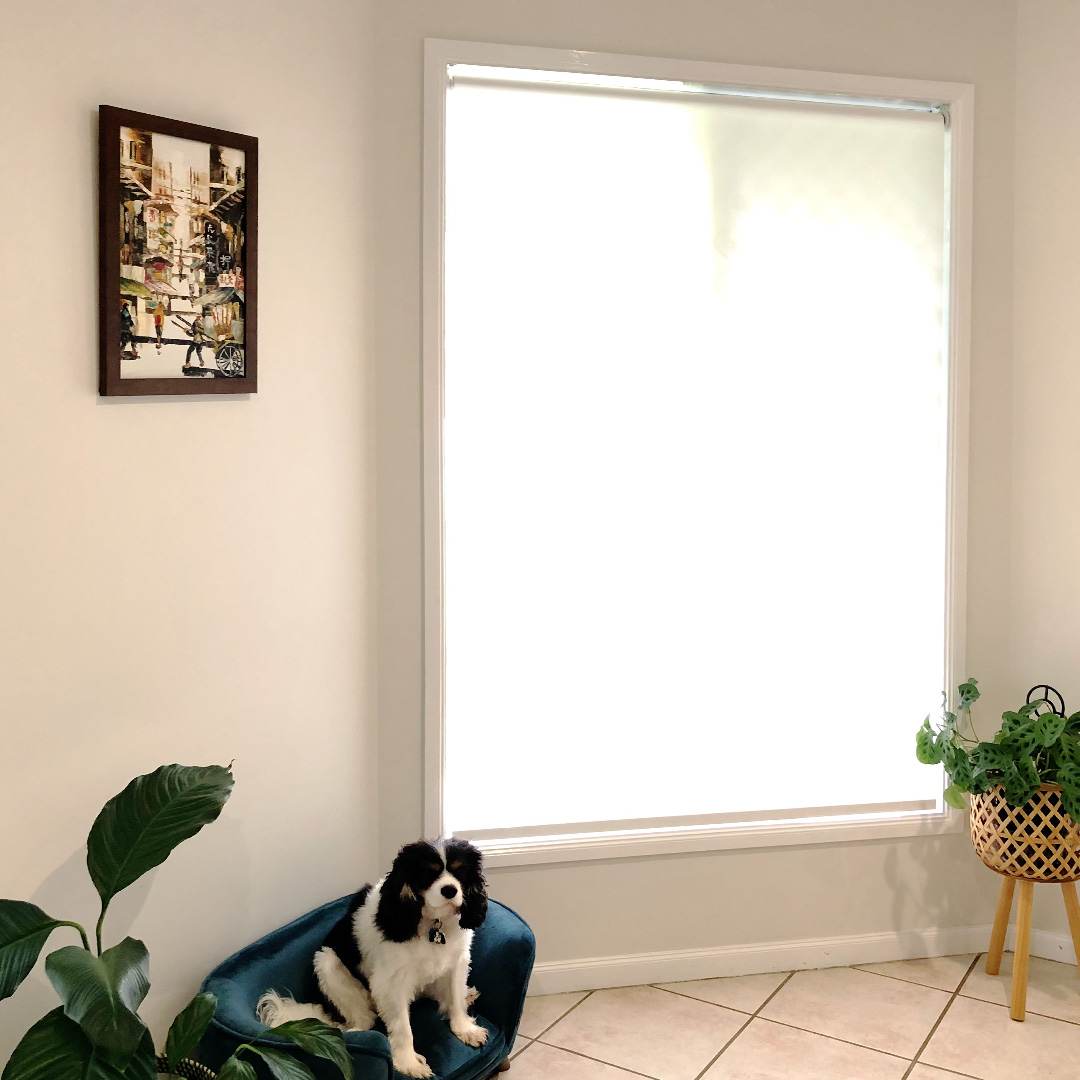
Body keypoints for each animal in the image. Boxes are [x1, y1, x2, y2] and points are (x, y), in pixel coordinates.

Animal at [257, 838, 490, 1075]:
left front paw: (465, 1028)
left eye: (461, 872)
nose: (450, 890)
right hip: (327, 963)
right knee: (364, 1022)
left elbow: (454, 997)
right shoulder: (391, 982)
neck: (433, 922)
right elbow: (402, 1026)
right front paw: (409, 1062)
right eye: (428, 873)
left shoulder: (457, 961)